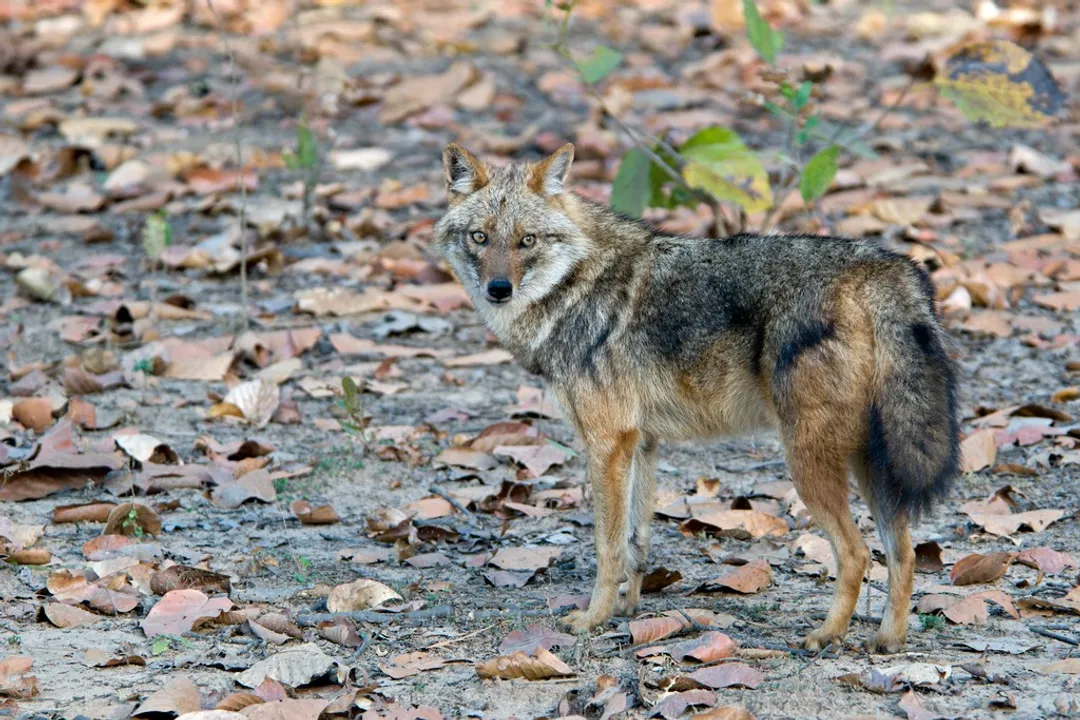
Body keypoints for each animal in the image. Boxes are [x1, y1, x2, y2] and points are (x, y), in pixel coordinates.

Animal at [432, 142, 960, 653]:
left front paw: (593, 619)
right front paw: (628, 610)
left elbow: (607, 546)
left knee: (856, 553)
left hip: (809, 462)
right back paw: (887, 641)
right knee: (903, 552)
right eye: (480, 237)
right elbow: (636, 542)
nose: (498, 289)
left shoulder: (607, 443)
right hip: (873, 464)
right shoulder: (641, 443)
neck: (576, 282)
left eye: (528, 240)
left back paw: (827, 636)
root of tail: (881, 267)